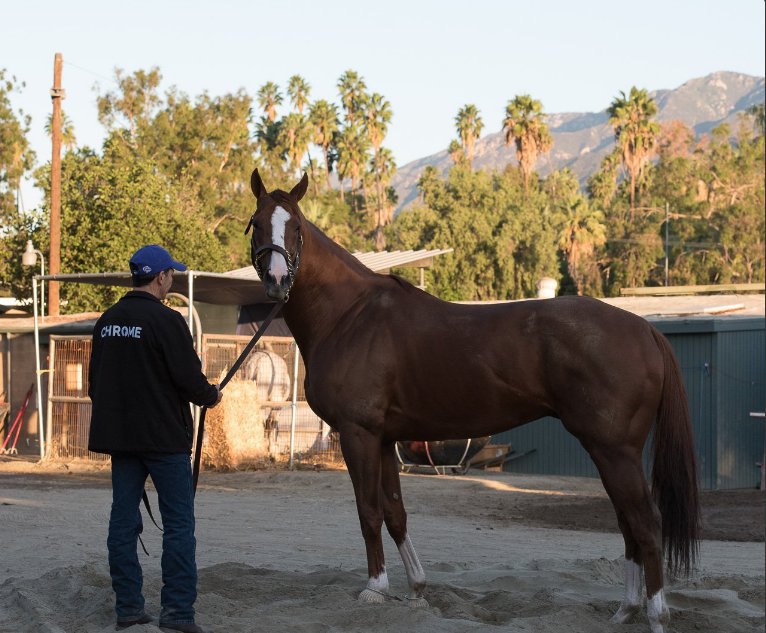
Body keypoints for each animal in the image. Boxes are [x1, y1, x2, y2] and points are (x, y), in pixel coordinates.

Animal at [248, 169, 704, 632]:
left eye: (297, 228)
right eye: (256, 224)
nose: (277, 280)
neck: (350, 315)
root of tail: (645, 329)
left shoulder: (358, 434)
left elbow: (369, 511)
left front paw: (375, 589)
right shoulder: (384, 438)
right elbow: (395, 512)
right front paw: (417, 590)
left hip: (615, 450)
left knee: (645, 524)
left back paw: (655, 615)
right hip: (610, 451)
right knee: (628, 523)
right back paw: (624, 610)